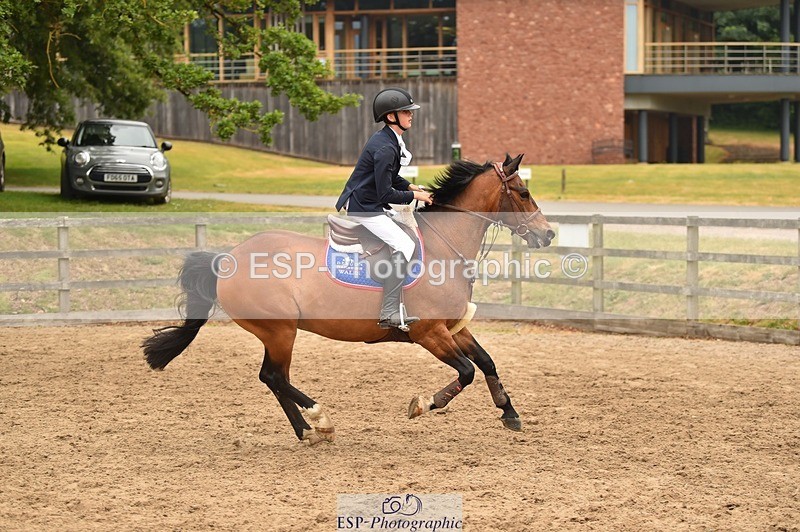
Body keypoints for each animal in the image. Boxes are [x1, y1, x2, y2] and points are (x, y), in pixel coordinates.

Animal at [141, 153, 555, 445]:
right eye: (523, 193)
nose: (548, 234)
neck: (443, 247)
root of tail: (227, 258)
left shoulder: (452, 328)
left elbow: (486, 362)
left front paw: (509, 413)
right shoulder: (429, 333)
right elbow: (466, 372)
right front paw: (425, 404)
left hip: (278, 333)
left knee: (275, 378)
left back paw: (307, 432)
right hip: (280, 331)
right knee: (274, 376)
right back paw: (319, 420)